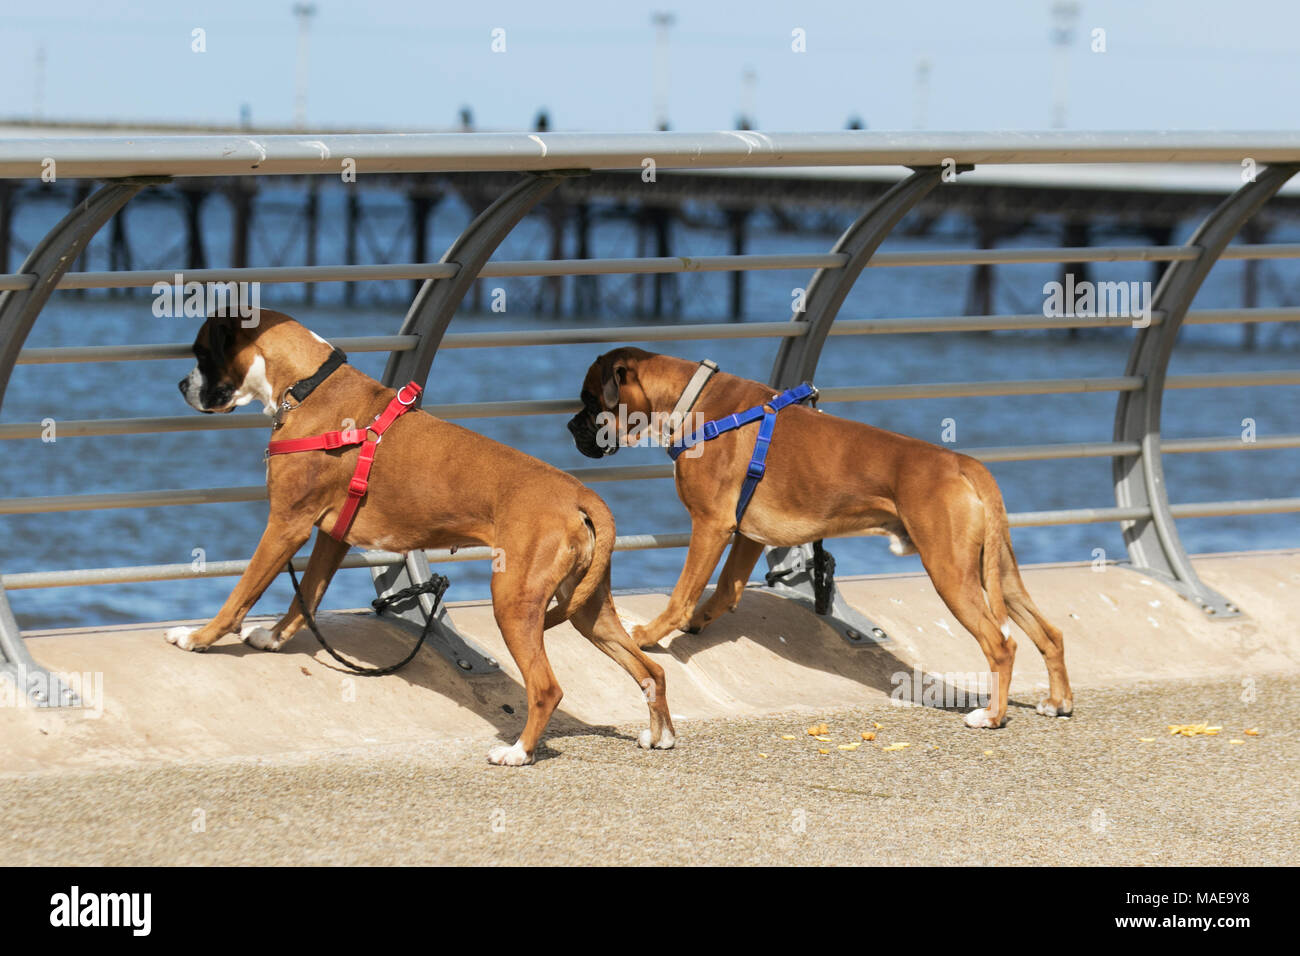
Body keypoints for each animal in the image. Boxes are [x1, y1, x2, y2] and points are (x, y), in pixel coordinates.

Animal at [163, 310, 676, 764]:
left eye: (202, 352)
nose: (181, 386)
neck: (309, 386)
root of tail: (581, 495)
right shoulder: (332, 537)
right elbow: (305, 595)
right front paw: (272, 638)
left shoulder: (284, 525)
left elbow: (242, 593)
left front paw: (199, 637)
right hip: (589, 609)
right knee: (651, 669)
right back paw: (660, 736)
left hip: (514, 600)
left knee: (547, 687)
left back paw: (518, 752)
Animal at [572, 348, 1076, 728]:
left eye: (590, 401)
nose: (570, 426)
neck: (691, 399)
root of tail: (964, 464)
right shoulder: (748, 534)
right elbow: (726, 590)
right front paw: (698, 622)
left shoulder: (711, 524)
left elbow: (683, 593)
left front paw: (650, 633)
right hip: (999, 572)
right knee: (1048, 632)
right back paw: (1058, 701)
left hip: (951, 571)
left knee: (1001, 643)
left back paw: (991, 716)